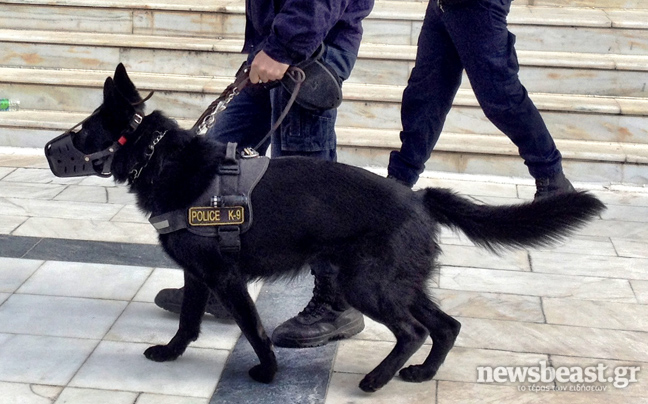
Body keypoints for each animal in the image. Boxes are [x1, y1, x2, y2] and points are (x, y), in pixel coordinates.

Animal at [45, 65, 608, 392]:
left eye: (82, 131)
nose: (52, 149)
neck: (159, 157)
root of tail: (418, 197)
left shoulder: (227, 279)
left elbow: (254, 329)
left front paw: (268, 374)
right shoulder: (198, 274)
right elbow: (187, 320)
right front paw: (171, 352)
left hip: (365, 285)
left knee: (414, 330)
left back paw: (377, 379)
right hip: (397, 283)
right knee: (446, 326)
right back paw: (422, 374)